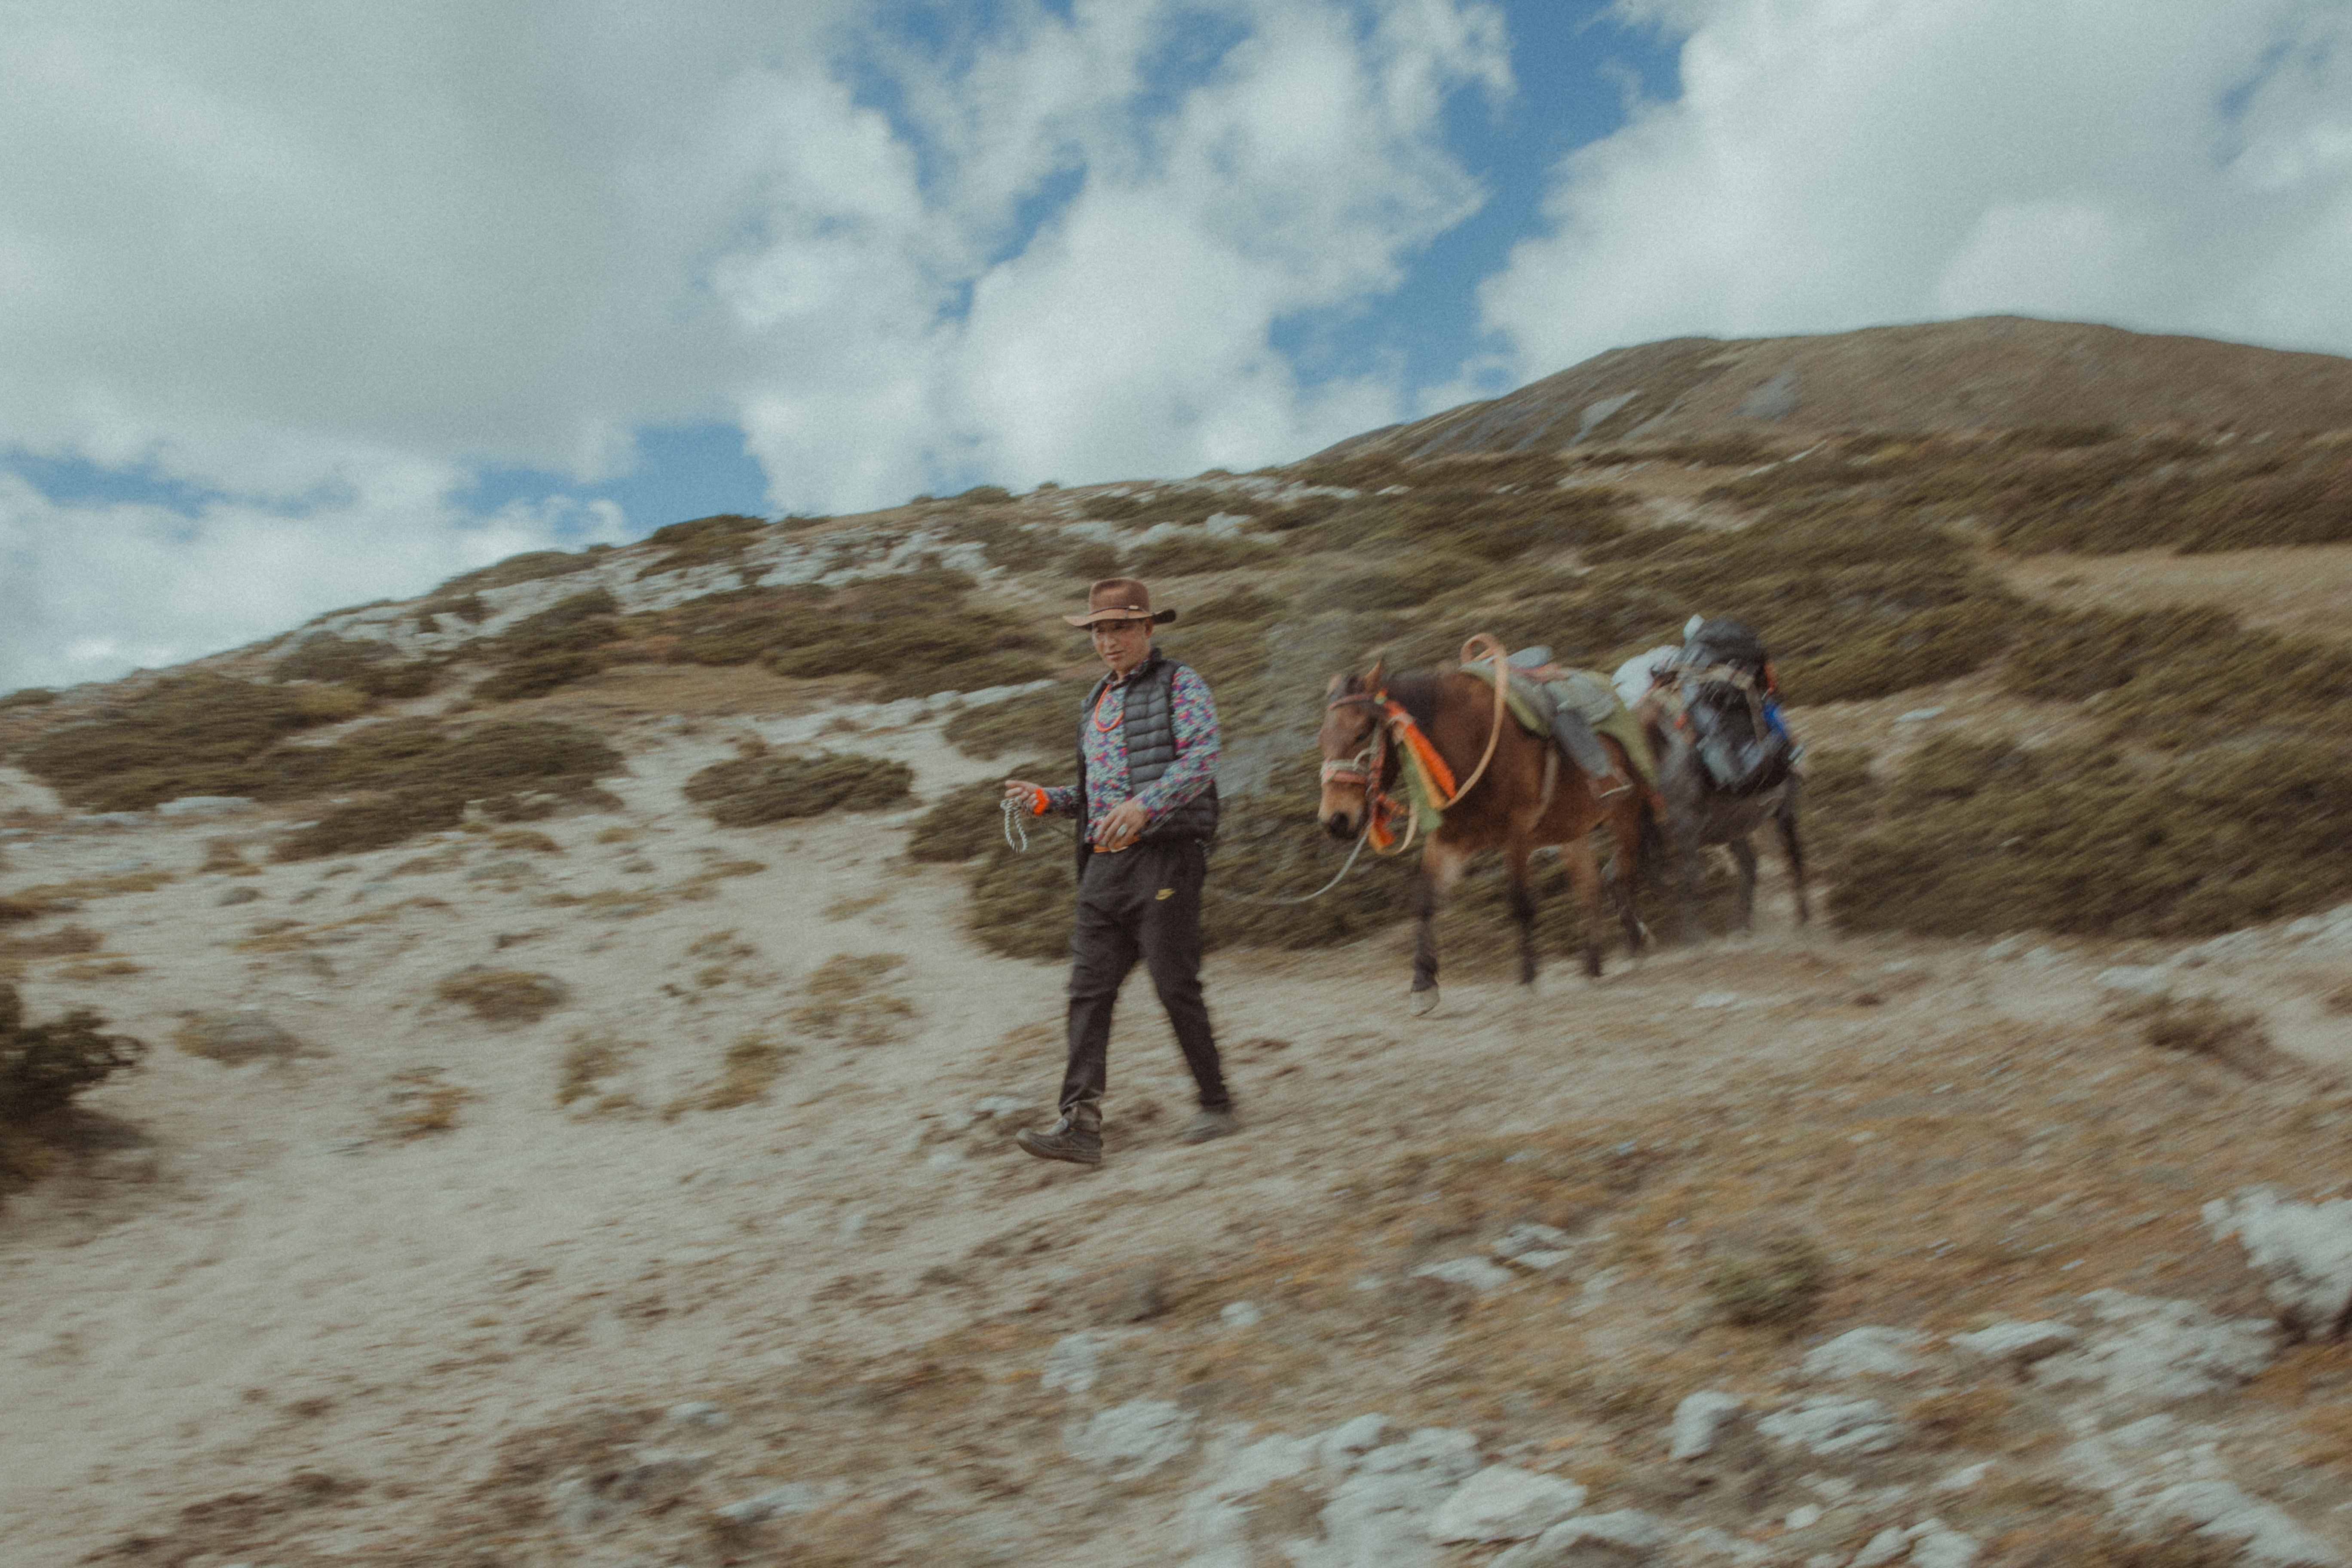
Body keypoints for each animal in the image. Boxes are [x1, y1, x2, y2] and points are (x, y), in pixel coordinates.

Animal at [1326, 639, 1656, 1020]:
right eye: (1321, 739)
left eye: (1362, 733)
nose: (1335, 820)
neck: (1468, 741)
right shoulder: (1449, 841)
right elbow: (1426, 902)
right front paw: (1423, 985)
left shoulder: (1518, 833)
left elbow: (1521, 903)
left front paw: (1527, 978)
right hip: (1571, 833)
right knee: (1590, 888)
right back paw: (1593, 966)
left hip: (1626, 814)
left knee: (1622, 876)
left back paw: (1635, 946)